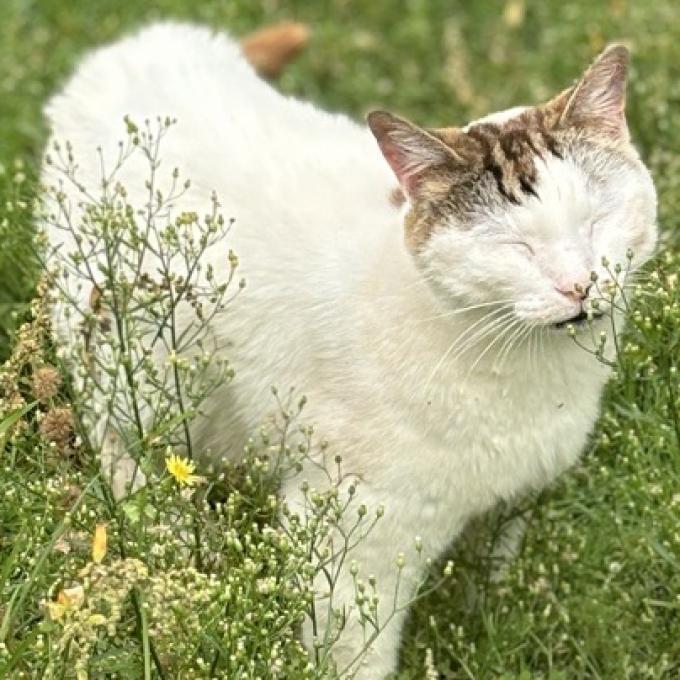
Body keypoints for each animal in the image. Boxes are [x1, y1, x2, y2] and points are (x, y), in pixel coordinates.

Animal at [41, 22, 652, 680]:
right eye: (517, 247)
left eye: (596, 222)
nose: (579, 285)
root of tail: (140, 42)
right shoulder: (352, 539)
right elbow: (354, 654)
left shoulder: (513, 501)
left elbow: (491, 578)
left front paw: (491, 621)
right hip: (130, 379)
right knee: (122, 448)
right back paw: (168, 534)